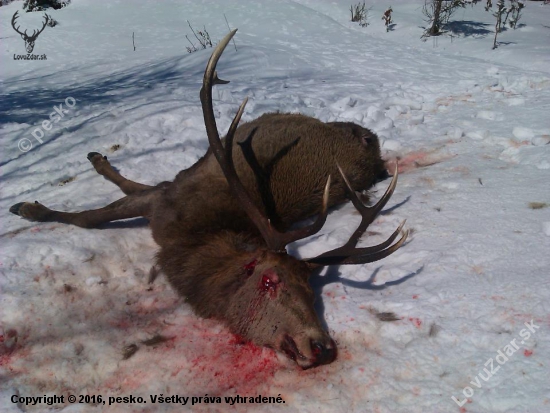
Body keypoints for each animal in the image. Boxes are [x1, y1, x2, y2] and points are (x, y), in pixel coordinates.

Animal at [9, 30, 410, 368]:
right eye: (269, 281)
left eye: (311, 290)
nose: (323, 346)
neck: (191, 239)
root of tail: (371, 144)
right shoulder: (166, 202)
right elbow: (90, 218)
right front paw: (30, 208)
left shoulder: (168, 200)